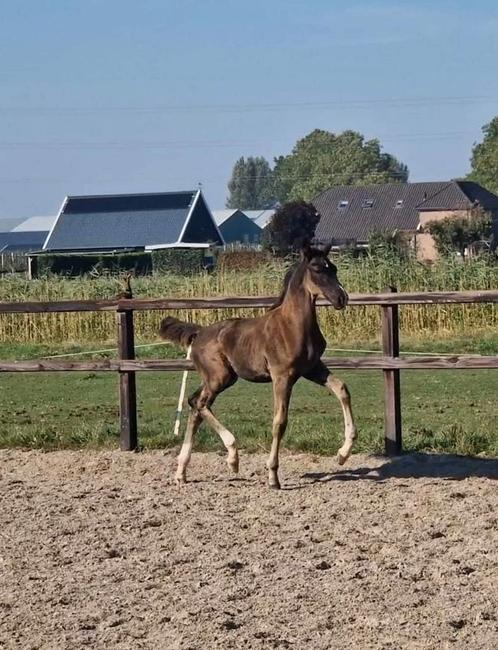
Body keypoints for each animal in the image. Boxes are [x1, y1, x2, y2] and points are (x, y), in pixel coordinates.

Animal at [160, 243, 354, 486]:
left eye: (334, 268)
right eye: (317, 269)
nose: (341, 298)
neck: (293, 325)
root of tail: (198, 333)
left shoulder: (313, 368)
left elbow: (342, 389)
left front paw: (343, 454)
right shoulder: (282, 376)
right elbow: (280, 422)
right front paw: (273, 475)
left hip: (219, 379)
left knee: (195, 406)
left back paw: (181, 471)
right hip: (219, 377)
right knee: (200, 404)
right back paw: (232, 457)